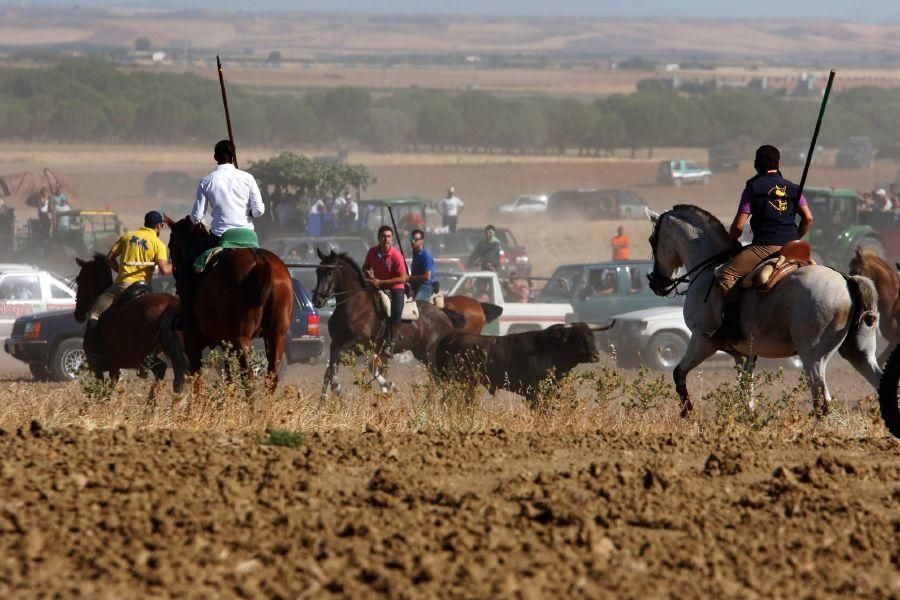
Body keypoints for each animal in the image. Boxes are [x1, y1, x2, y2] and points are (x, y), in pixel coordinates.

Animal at [73, 253, 188, 394]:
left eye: (79, 280)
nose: (78, 314)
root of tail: (170, 303)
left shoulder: (97, 369)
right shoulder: (115, 367)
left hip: (142, 353)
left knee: (161, 368)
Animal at [163, 216, 294, 390]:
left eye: (171, 244)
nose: (174, 271)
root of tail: (260, 262)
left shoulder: (192, 342)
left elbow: (198, 380)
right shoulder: (227, 344)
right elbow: (228, 376)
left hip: (241, 338)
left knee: (248, 376)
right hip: (277, 334)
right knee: (271, 376)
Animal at [310, 248, 464, 398]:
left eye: (330, 272)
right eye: (317, 271)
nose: (317, 300)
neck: (353, 305)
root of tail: (444, 315)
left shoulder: (360, 343)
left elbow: (345, 358)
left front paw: (336, 385)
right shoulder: (336, 342)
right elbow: (330, 366)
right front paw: (324, 399)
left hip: (431, 355)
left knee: (439, 381)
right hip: (421, 354)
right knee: (436, 382)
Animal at [644, 206, 884, 418]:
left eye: (652, 240)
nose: (656, 284)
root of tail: (846, 280)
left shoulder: (702, 342)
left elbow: (679, 372)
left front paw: (688, 413)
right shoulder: (743, 353)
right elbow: (746, 393)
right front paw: (749, 419)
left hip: (813, 357)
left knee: (821, 400)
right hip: (859, 352)